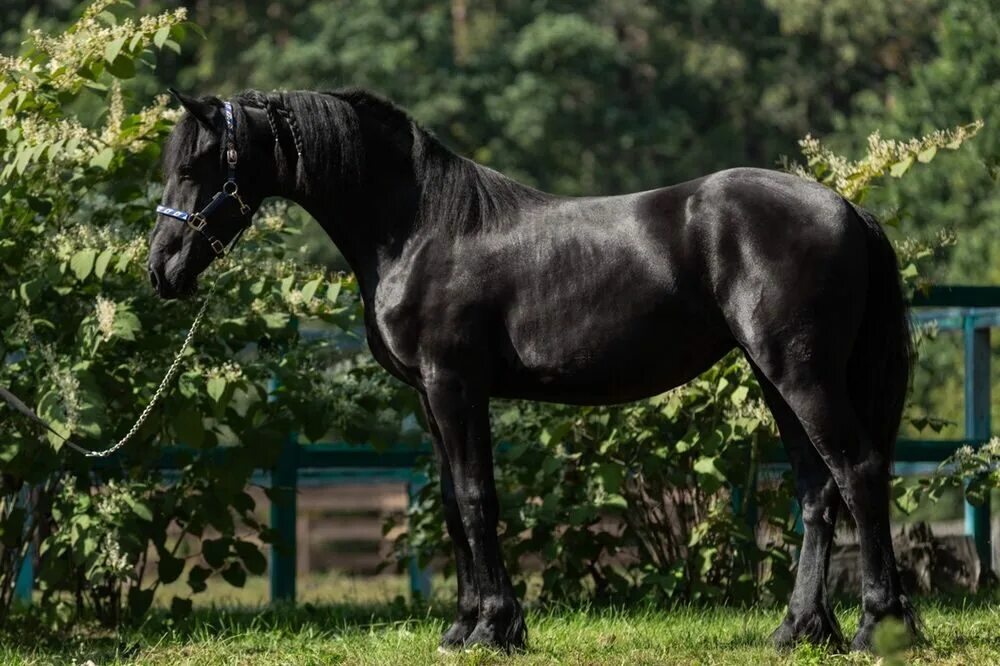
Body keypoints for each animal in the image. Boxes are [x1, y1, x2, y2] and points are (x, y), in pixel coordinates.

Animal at [145, 88, 916, 648]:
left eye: (196, 166)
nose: (161, 271)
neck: (422, 228)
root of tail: (847, 208)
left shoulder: (455, 387)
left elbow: (477, 499)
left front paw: (495, 627)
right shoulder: (430, 397)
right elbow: (451, 504)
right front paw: (465, 626)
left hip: (800, 374)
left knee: (857, 470)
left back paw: (879, 626)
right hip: (774, 376)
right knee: (817, 491)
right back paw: (799, 630)